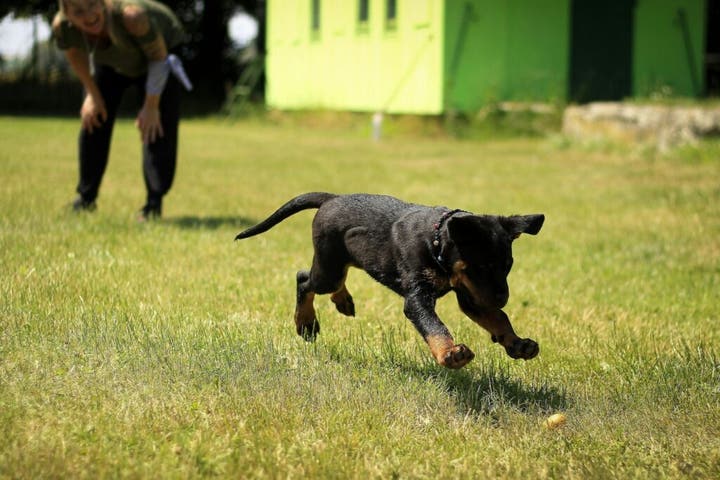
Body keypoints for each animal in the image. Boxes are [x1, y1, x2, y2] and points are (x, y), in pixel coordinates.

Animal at [238, 193, 544, 370]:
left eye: (508, 266)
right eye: (482, 266)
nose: (503, 298)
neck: (435, 242)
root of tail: (332, 198)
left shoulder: (471, 296)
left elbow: (499, 318)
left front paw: (517, 343)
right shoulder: (418, 297)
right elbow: (435, 326)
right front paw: (449, 354)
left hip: (345, 259)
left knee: (334, 278)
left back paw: (343, 301)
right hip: (328, 268)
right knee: (304, 279)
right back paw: (306, 323)